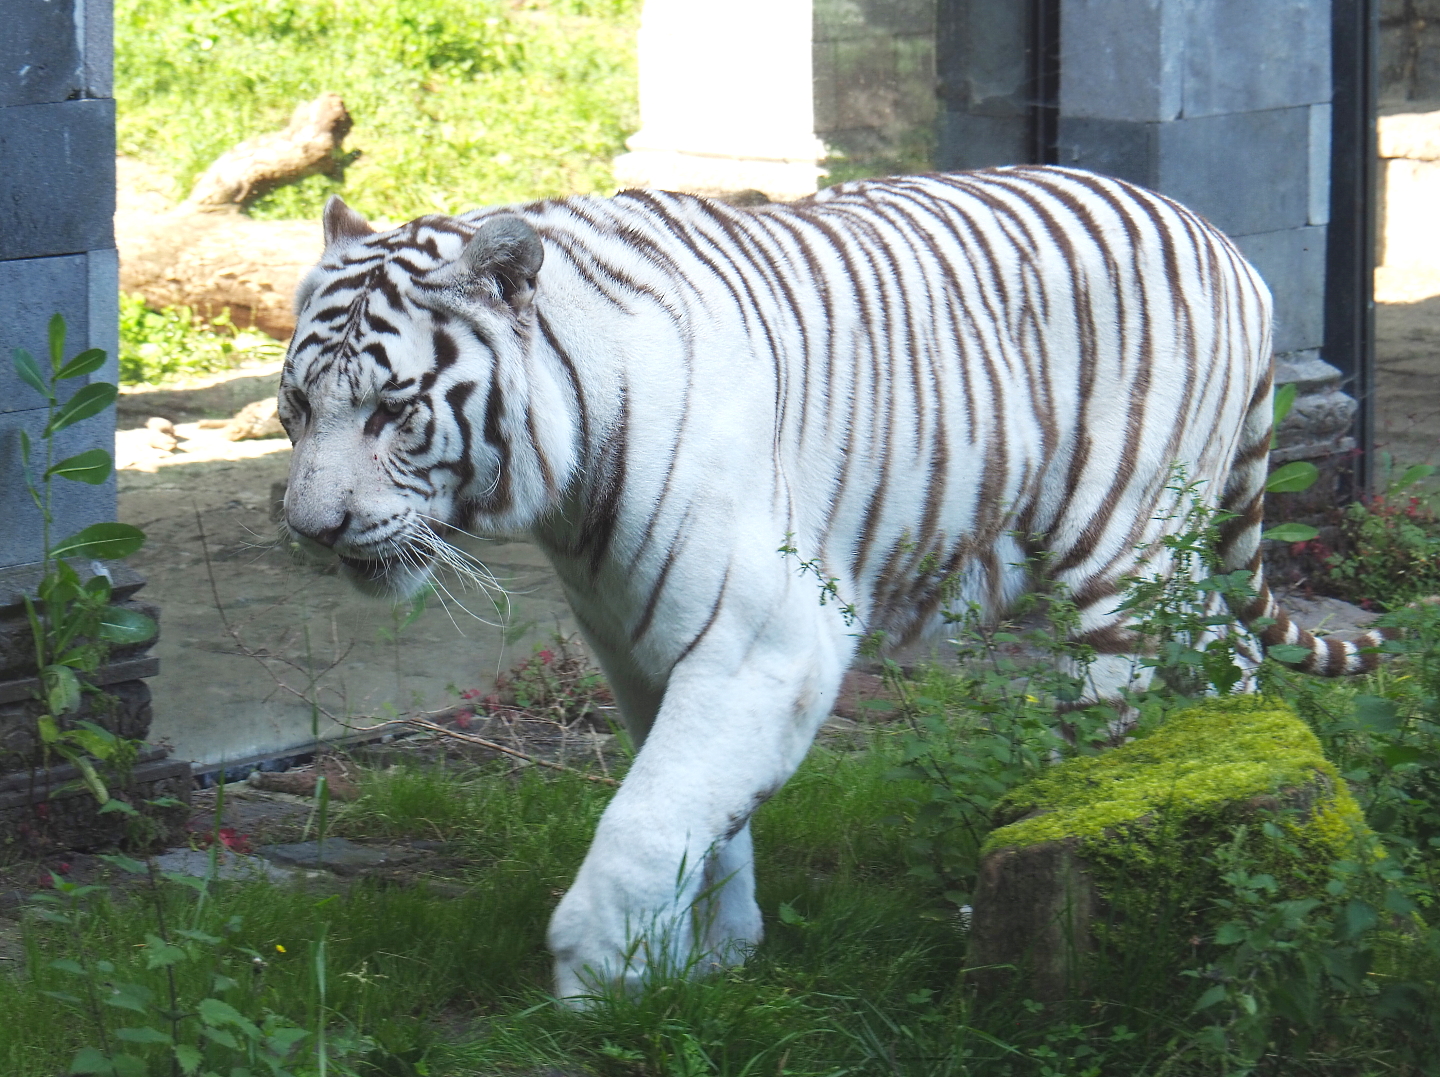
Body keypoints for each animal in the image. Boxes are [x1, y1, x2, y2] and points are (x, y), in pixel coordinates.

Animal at [277, 165, 1392, 1002]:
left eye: (391, 409)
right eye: (294, 406)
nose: (309, 530)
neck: (566, 489)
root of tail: (1223, 240)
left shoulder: (764, 643)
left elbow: (644, 820)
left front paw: (600, 984)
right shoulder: (640, 651)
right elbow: (703, 816)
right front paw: (711, 960)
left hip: (1121, 554)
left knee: (1127, 703)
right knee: (1230, 655)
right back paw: (1232, 796)